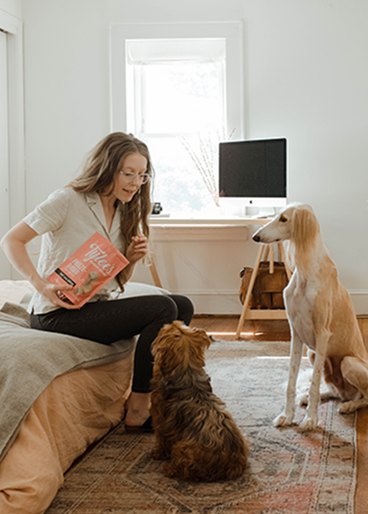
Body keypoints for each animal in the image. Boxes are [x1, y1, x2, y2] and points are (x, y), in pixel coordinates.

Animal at [150, 320, 250, 480]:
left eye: (169, 328)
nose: (172, 321)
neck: (187, 372)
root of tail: (232, 464)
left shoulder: (159, 418)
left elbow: (161, 438)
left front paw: (157, 453)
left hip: (182, 448)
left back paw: (169, 469)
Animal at [252, 202, 368, 430]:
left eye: (284, 219)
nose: (256, 237)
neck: (306, 274)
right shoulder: (296, 333)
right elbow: (292, 380)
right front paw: (287, 415)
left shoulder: (322, 334)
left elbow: (314, 383)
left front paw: (310, 420)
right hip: (313, 354)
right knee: (335, 391)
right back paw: (313, 397)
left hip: (348, 362)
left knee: (364, 397)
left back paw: (349, 405)